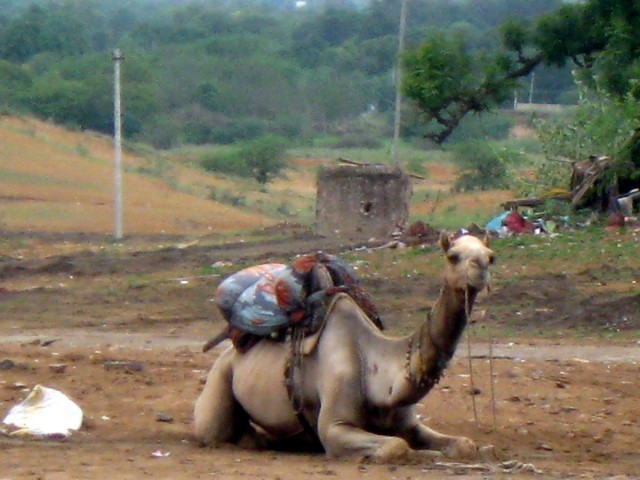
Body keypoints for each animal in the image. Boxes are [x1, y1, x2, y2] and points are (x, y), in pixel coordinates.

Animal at [194, 232, 495, 463]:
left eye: (491, 256)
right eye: (453, 256)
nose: (480, 267)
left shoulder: (409, 423)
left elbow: (464, 444)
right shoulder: (335, 427)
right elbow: (396, 446)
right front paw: (425, 456)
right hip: (220, 381)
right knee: (215, 430)